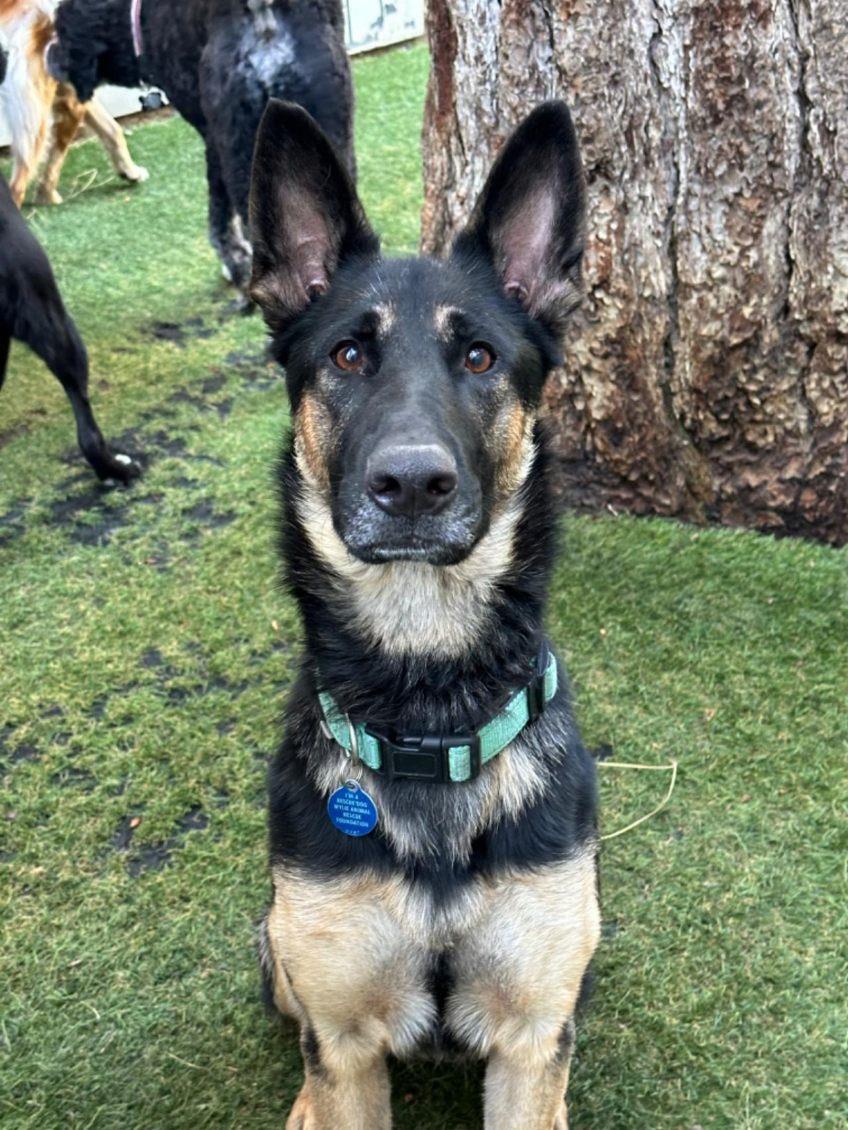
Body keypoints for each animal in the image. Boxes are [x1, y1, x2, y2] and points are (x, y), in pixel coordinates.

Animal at [49, 1, 355, 291]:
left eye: (59, 29)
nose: (48, 55)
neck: (136, 17)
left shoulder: (212, 138)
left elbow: (219, 215)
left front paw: (234, 263)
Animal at [248, 101, 601, 1125]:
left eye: (479, 356)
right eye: (348, 354)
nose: (410, 484)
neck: (426, 705)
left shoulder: (532, 1036)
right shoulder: (345, 1038)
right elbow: (334, 1064)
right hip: (277, 950)